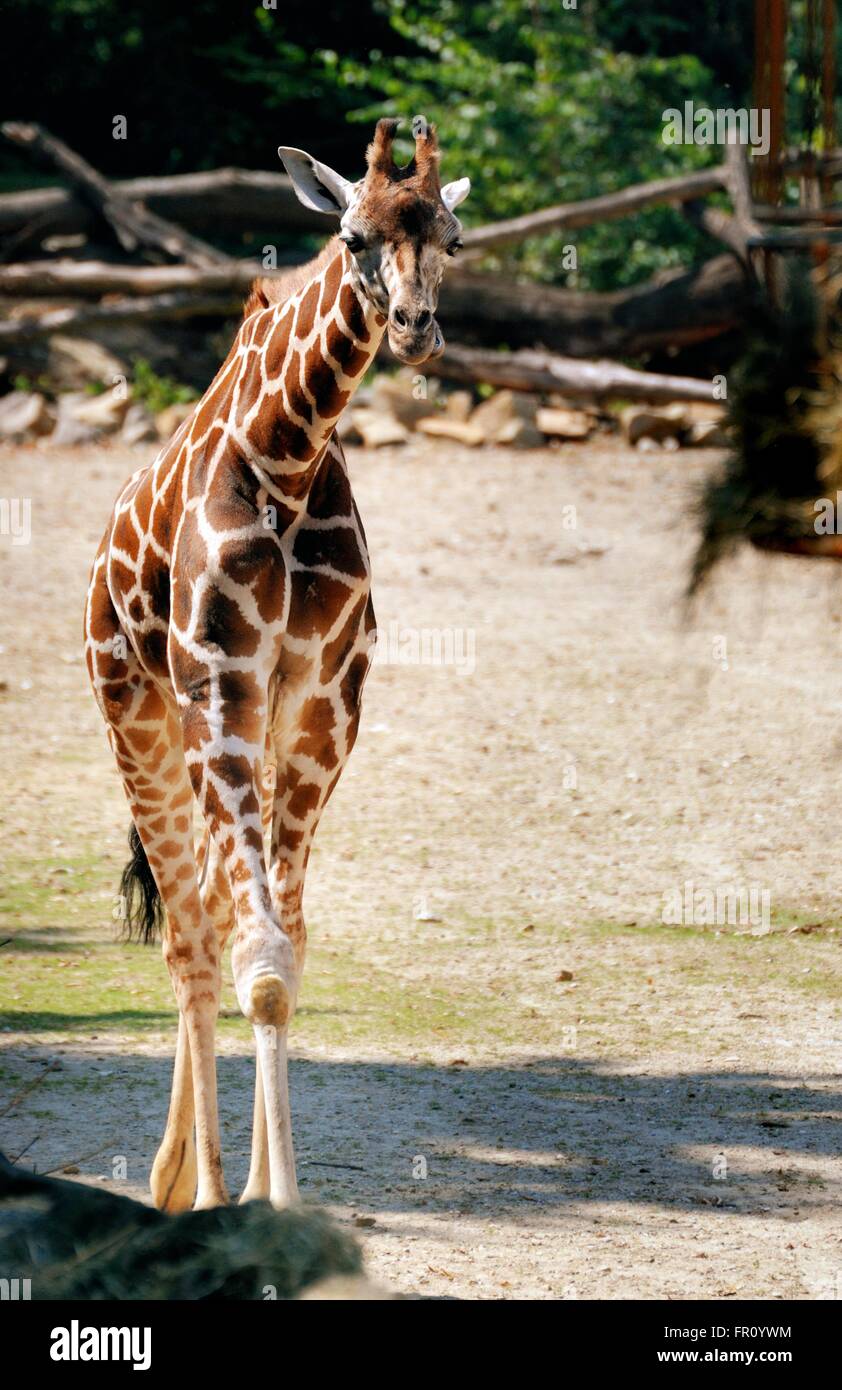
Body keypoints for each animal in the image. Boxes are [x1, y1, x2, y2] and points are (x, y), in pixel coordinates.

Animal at [83, 118, 470, 1210]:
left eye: (452, 239)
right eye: (352, 235)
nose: (416, 329)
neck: (289, 458)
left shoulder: (321, 709)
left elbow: (284, 949)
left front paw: (271, 1192)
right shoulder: (218, 689)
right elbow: (254, 954)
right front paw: (245, 1202)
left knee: (211, 915)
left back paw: (179, 1174)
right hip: (138, 718)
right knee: (189, 934)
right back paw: (185, 1185)